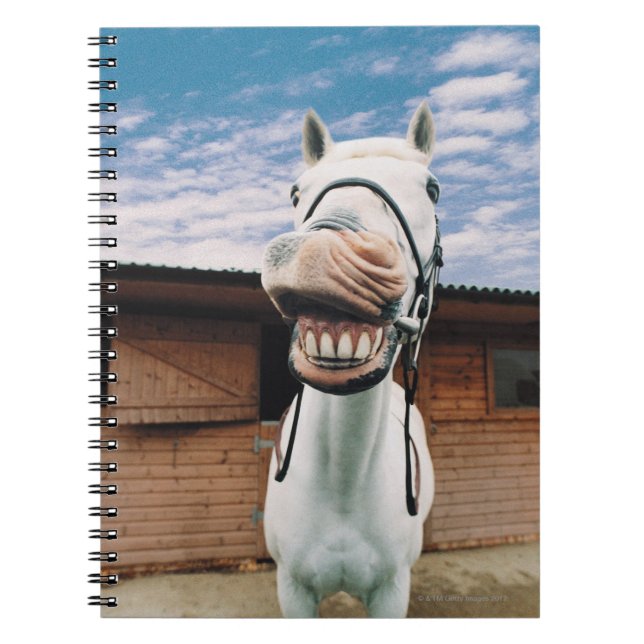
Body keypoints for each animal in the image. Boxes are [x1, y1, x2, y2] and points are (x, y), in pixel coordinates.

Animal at [261, 102, 442, 618]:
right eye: (296, 191)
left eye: (433, 189)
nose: (324, 255)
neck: (343, 478)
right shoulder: (292, 589)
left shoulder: (392, 591)